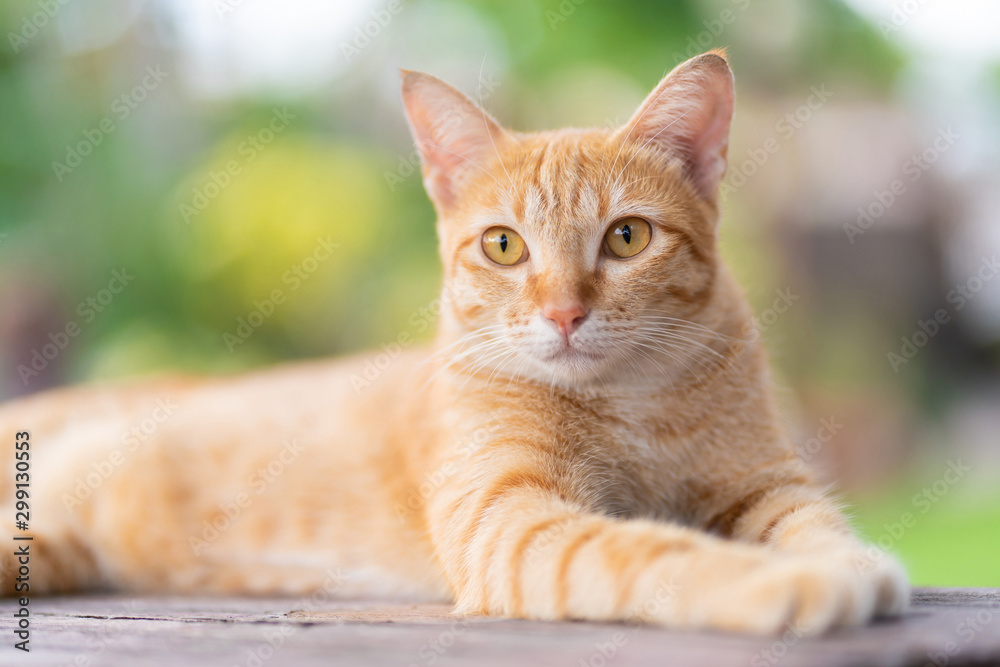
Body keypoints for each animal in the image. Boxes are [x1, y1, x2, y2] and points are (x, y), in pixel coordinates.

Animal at [0, 49, 908, 636]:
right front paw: (786, 581)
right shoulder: (511, 515)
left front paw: (848, 561)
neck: (632, 400)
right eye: (504, 246)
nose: (565, 314)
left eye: (627, 237)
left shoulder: (765, 484)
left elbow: (817, 524)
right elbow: (646, 546)